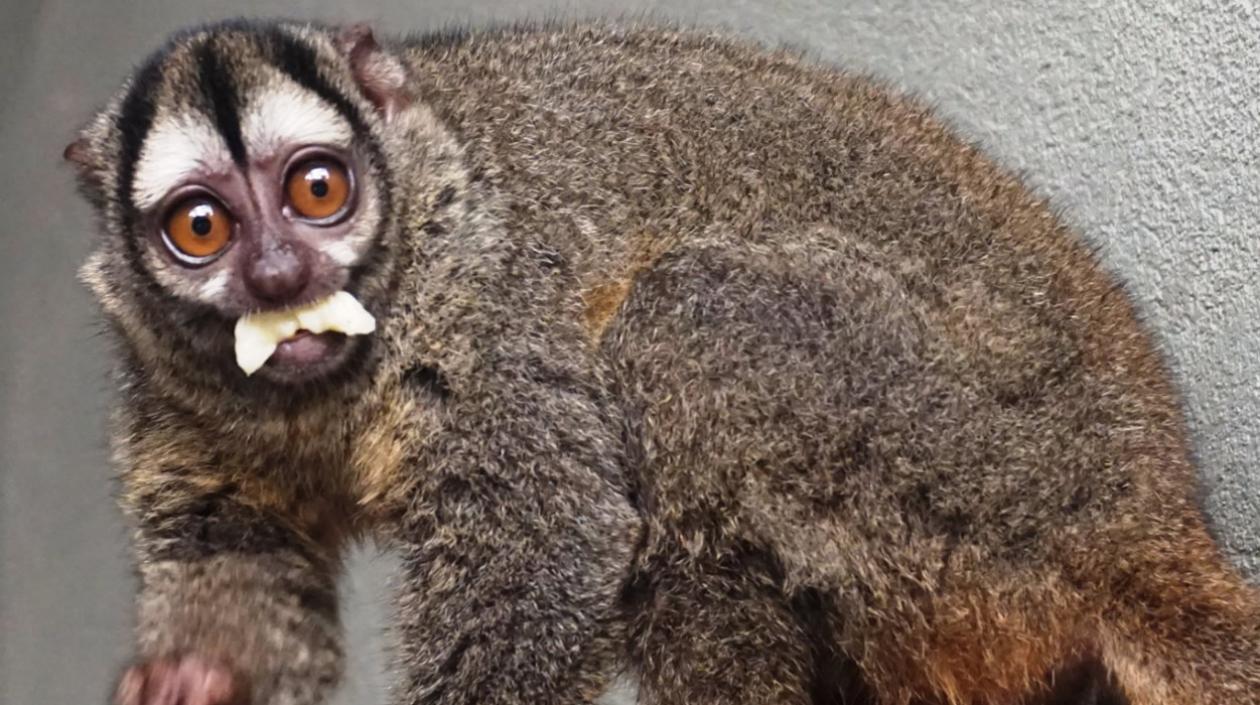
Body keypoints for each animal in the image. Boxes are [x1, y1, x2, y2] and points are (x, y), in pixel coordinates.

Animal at [62, 17, 1260, 705]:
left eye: (318, 189)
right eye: (203, 227)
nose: (276, 276)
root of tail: (1148, 518)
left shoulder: (486, 314)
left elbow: (548, 533)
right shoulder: (169, 387)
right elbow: (234, 550)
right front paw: (193, 677)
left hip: (986, 470)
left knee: (674, 327)